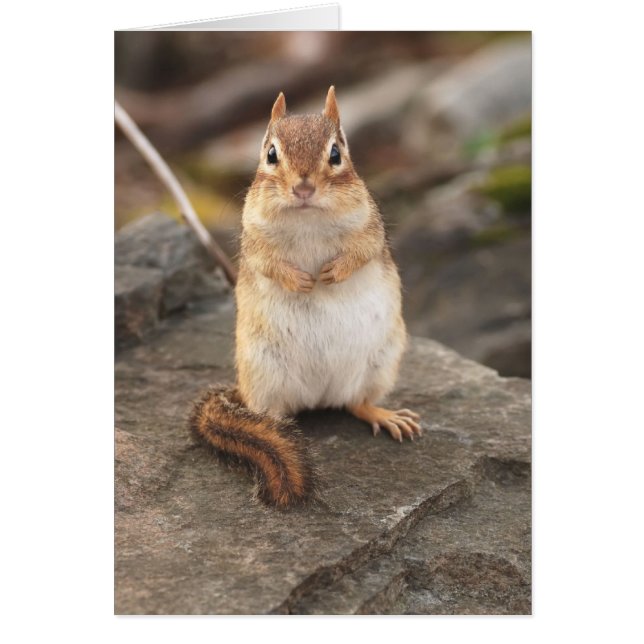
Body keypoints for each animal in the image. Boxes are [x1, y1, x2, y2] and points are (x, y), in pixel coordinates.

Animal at [190, 86, 421, 509]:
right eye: (270, 154)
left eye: (336, 153)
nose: (303, 188)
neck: (307, 217)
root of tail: (317, 397)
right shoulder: (253, 239)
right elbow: (267, 263)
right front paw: (298, 279)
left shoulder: (370, 227)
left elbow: (362, 251)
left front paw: (334, 272)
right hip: (265, 374)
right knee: (271, 417)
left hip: (380, 364)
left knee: (357, 403)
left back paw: (384, 415)